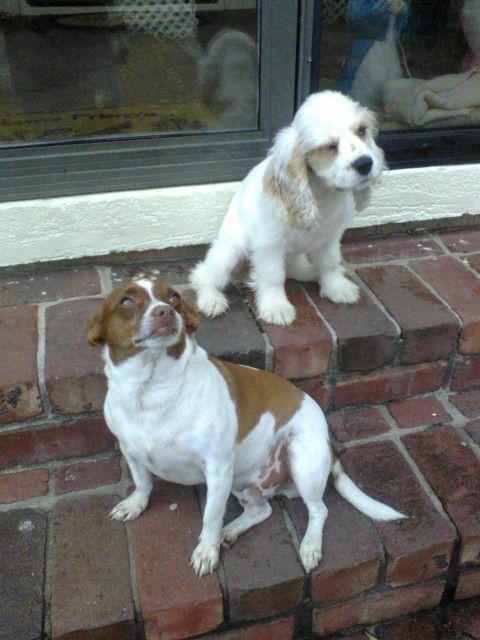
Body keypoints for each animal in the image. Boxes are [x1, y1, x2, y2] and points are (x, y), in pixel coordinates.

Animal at [87, 278, 404, 576]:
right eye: (126, 301)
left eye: (174, 297)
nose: (165, 311)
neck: (150, 393)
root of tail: (327, 438)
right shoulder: (131, 452)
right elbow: (143, 484)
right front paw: (135, 504)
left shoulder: (218, 469)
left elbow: (211, 516)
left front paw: (207, 550)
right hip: (242, 483)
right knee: (262, 510)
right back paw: (230, 531)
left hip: (301, 462)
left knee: (319, 510)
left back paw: (309, 546)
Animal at [189, 90, 384, 324]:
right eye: (329, 146)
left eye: (362, 131)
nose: (365, 163)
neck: (322, 191)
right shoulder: (269, 243)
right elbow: (273, 276)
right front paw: (276, 307)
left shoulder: (330, 237)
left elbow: (329, 262)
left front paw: (337, 287)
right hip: (230, 251)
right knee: (203, 275)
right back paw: (211, 299)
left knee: (295, 268)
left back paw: (310, 271)